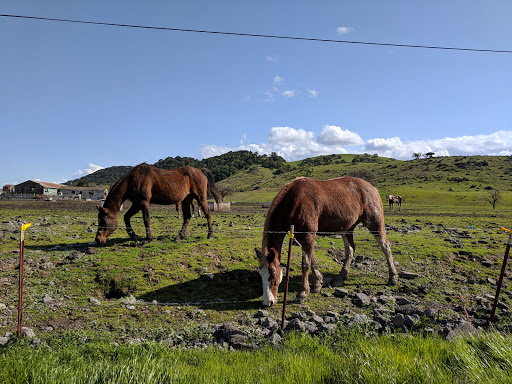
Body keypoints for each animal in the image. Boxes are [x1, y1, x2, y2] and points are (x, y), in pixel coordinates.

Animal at [255, 176, 396, 306]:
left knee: (385, 246)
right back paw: (340, 278)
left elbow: (305, 263)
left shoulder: (308, 235)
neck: (295, 200)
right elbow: (311, 259)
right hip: (347, 229)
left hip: (374, 224)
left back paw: (393, 277)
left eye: (273, 276)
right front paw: (317, 283)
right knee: (350, 250)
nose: (267, 302)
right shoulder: (302, 237)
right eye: (260, 275)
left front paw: (302, 293)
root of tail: (372, 188)